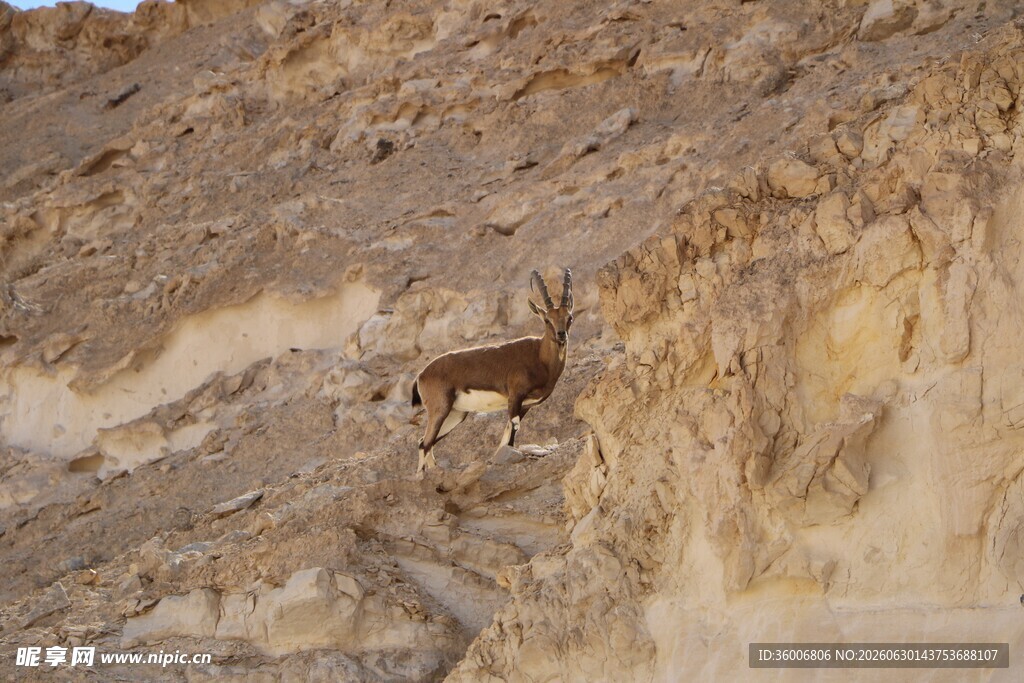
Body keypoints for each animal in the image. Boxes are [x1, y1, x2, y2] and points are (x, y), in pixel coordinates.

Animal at [410, 268, 574, 477]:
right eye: (547, 319)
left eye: (569, 317)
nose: (561, 335)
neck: (540, 357)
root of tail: (421, 375)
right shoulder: (515, 396)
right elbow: (513, 428)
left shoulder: (526, 405)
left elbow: (508, 431)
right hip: (440, 408)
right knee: (424, 443)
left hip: (456, 414)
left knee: (426, 443)